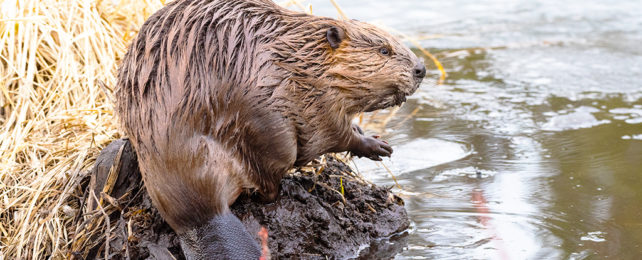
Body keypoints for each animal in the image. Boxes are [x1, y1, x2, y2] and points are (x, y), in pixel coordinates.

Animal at [115, 0, 424, 256]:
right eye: (384, 50)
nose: (420, 68)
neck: (303, 56)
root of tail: (201, 218)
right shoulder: (316, 102)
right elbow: (333, 134)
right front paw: (377, 146)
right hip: (270, 132)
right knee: (269, 185)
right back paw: (289, 192)